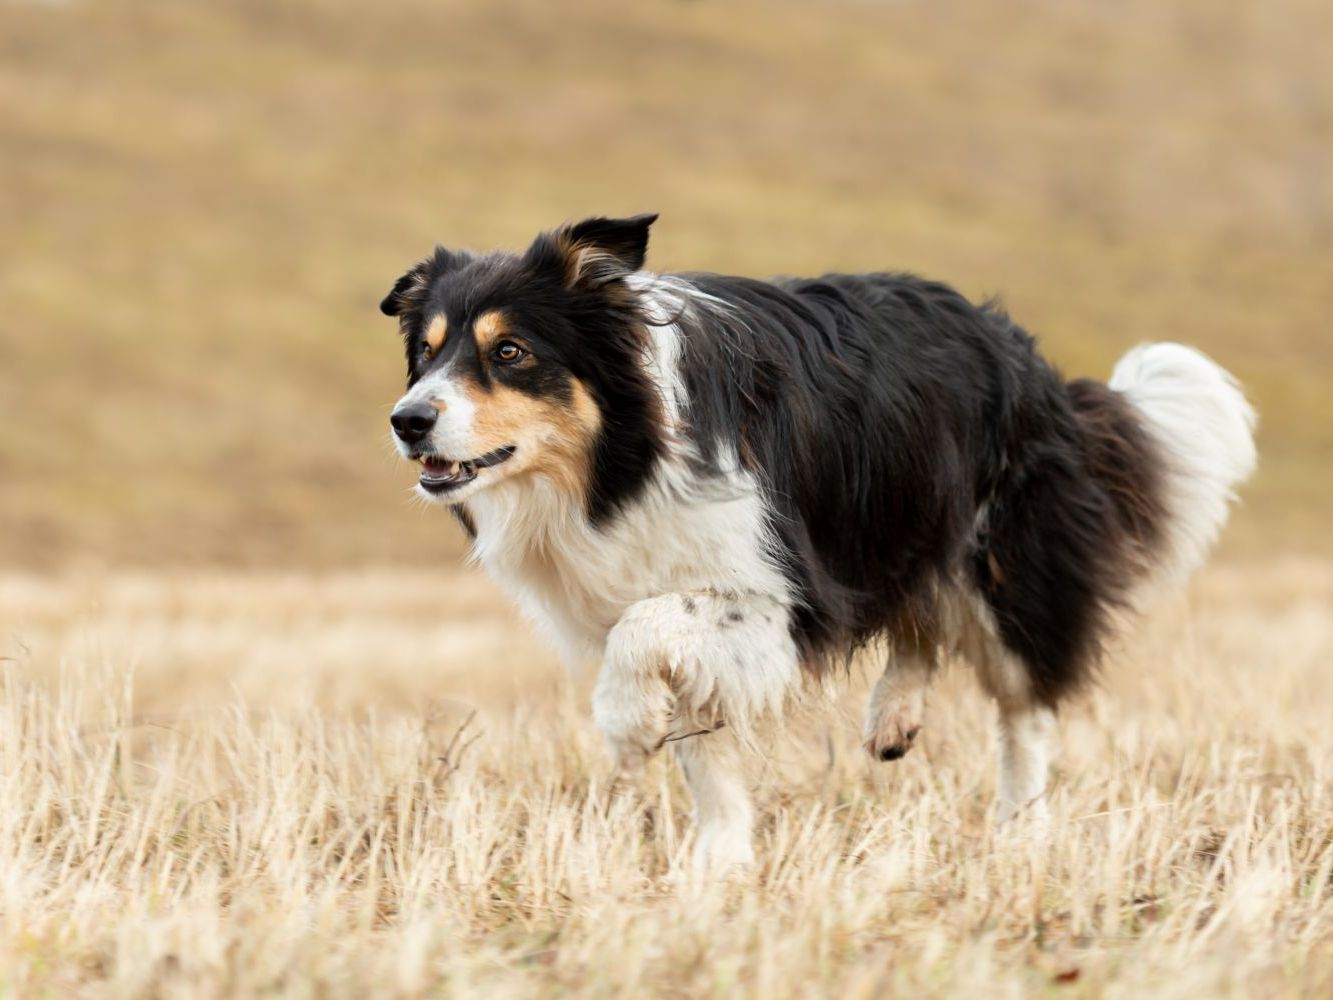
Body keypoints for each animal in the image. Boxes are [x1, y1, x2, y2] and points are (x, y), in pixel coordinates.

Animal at [381, 217, 1253, 869]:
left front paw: (626, 725)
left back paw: (1020, 828)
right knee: (918, 617)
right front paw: (721, 865)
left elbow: (643, 632)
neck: (619, 458)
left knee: (1024, 704)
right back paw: (894, 717)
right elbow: (705, 746)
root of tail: (1028, 357)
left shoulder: (783, 591)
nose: (407, 420)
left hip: (1000, 554)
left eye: (510, 352)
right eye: (426, 351)